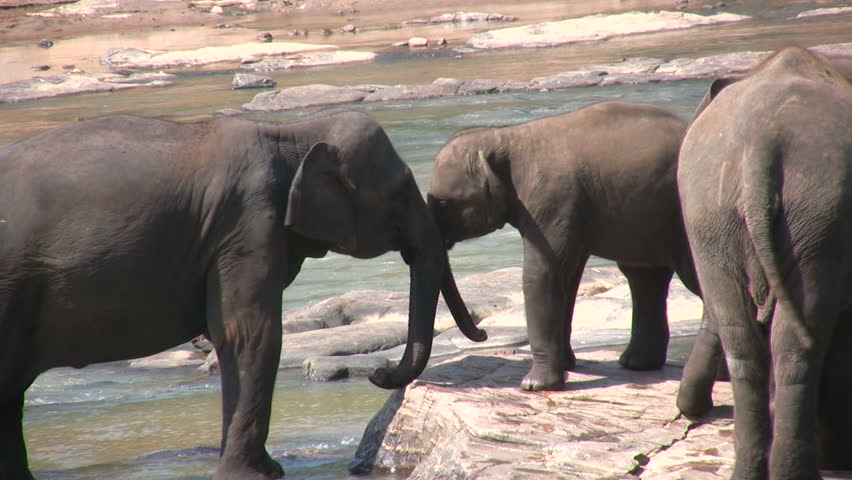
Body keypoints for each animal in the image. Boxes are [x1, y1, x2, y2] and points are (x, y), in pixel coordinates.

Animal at [0, 109, 485, 480]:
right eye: (399, 192)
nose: (380, 374)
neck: (290, 133)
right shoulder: (245, 226)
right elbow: (250, 334)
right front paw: (255, 475)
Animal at [428, 101, 717, 392]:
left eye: (443, 203)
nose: (483, 333)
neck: (504, 136)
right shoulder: (568, 210)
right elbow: (568, 275)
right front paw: (566, 367)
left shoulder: (551, 199)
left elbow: (542, 273)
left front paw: (534, 385)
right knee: (645, 277)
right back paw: (637, 364)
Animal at [677, 46, 852, 479]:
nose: (689, 409)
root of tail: (760, 145)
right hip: (820, 215)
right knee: (800, 340)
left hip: (711, 215)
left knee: (743, 341)